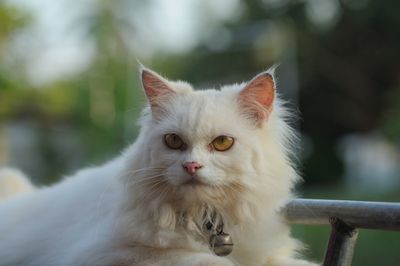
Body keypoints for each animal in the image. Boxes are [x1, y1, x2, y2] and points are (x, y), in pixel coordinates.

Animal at [0, 67, 318, 266]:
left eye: (223, 143)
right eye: (174, 141)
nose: (191, 166)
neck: (204, 218)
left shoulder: (267, 253)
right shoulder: (111, 254)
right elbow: (206, 260)